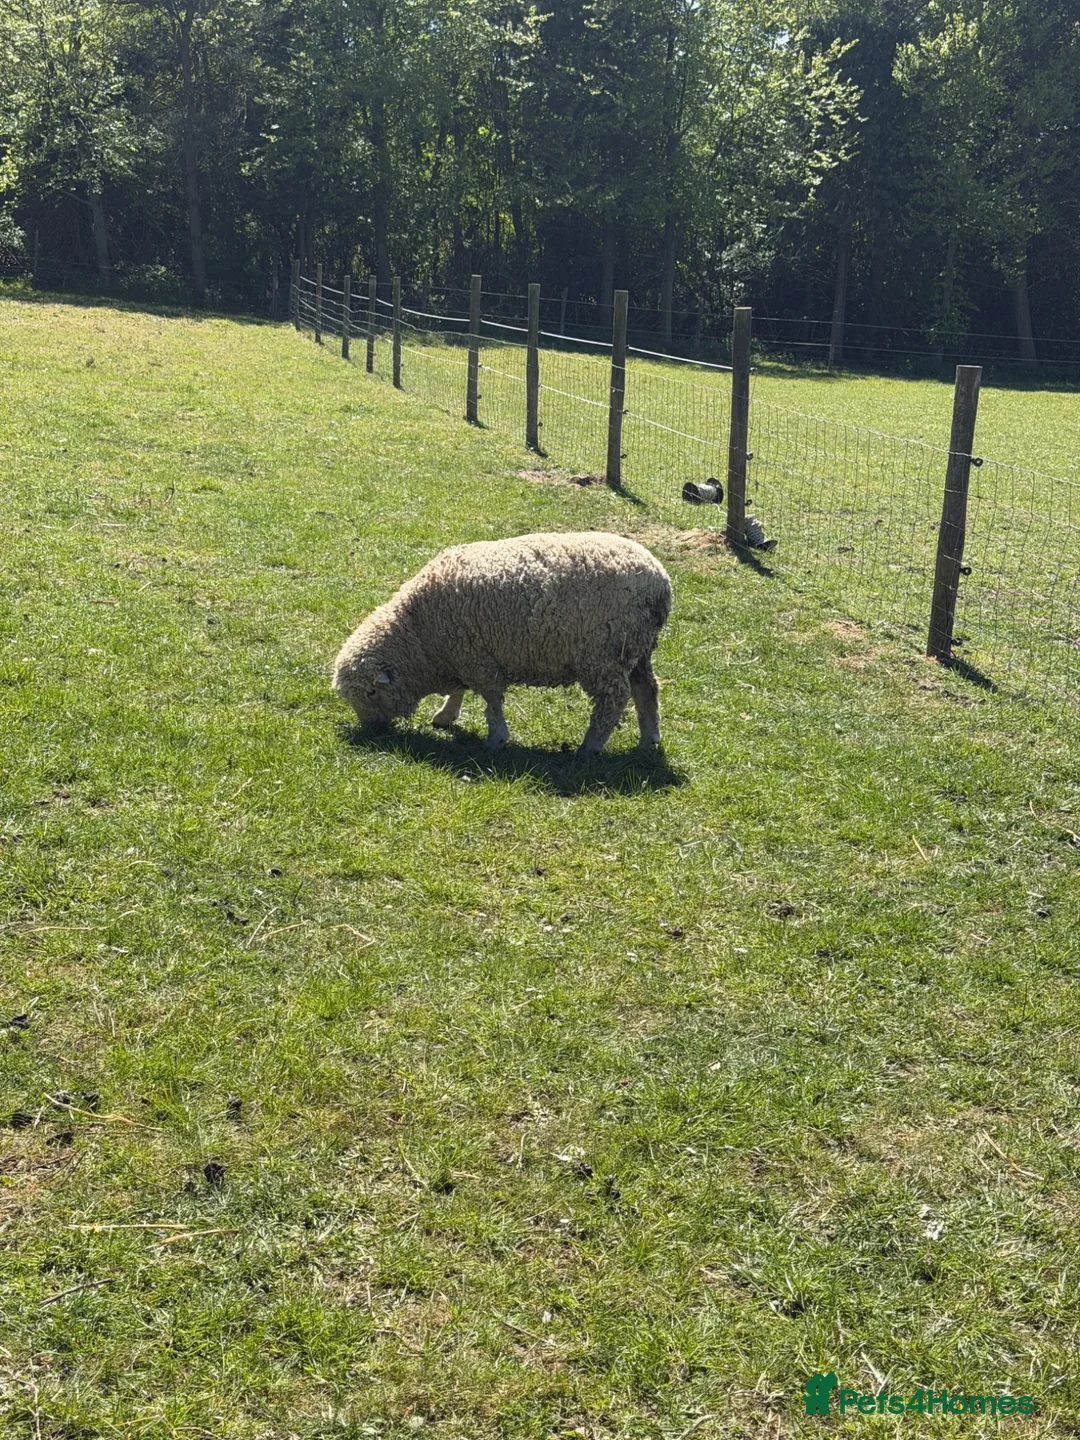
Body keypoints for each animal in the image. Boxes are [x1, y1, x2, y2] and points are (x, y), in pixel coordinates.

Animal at [332, 531, 672, 756]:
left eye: (372, 691)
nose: (372, 731)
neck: (419, 634)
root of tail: (661, 582)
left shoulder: (476, 658)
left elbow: (491, 699)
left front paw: (496, 737)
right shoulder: (461, 653)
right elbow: (459, 690)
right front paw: (446, 715)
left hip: (604, 654)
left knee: (614, 699)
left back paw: (589, 747)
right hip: (639, 649)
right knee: (647, 688)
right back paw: (649, 739)